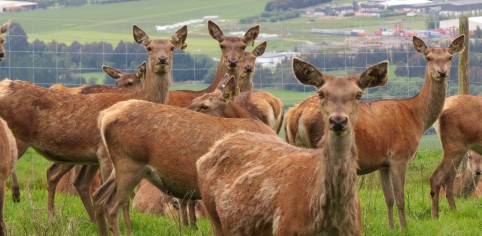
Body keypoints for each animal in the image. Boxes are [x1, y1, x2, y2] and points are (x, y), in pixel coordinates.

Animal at [0, 24, 186, 223]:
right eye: (149, 47)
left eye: (172, 48)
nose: (162, 59)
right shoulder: (105, 154)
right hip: (18, 138)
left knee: (62, 178)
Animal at [284, 35, 466, 229]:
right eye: (428, 57)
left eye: (449, 57)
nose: (441, 72)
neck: (417, 118)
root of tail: (294, 114)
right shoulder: (399, 156)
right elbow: (400, 198)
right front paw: (404, 228)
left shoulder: (383, 163)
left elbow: (389, 199)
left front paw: (391, 227)